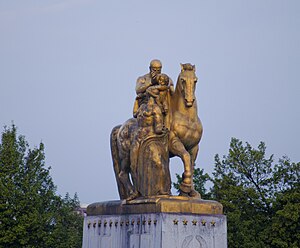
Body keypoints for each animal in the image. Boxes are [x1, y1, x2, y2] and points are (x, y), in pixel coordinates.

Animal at [110, 63, 204, 200]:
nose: (189, 100)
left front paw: (191, 192)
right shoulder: (174, 143)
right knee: (123, 173)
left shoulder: (194, 147)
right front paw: (185, 187)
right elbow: (185, 157)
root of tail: (120, 127)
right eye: (183, 80)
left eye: (195, 80)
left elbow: (190, 165)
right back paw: (134, 194)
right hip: (126, 154)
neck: (187, 119)